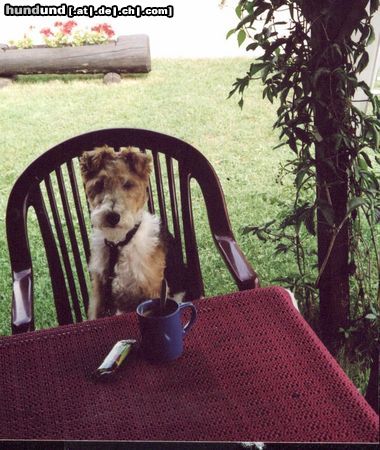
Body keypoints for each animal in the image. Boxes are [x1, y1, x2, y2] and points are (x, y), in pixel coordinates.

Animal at [80, 145, 184, 320]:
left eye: (128, 184)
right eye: (99, 184)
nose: (112, 217)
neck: (120, 243)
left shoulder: (153, 289)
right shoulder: (99, 288)